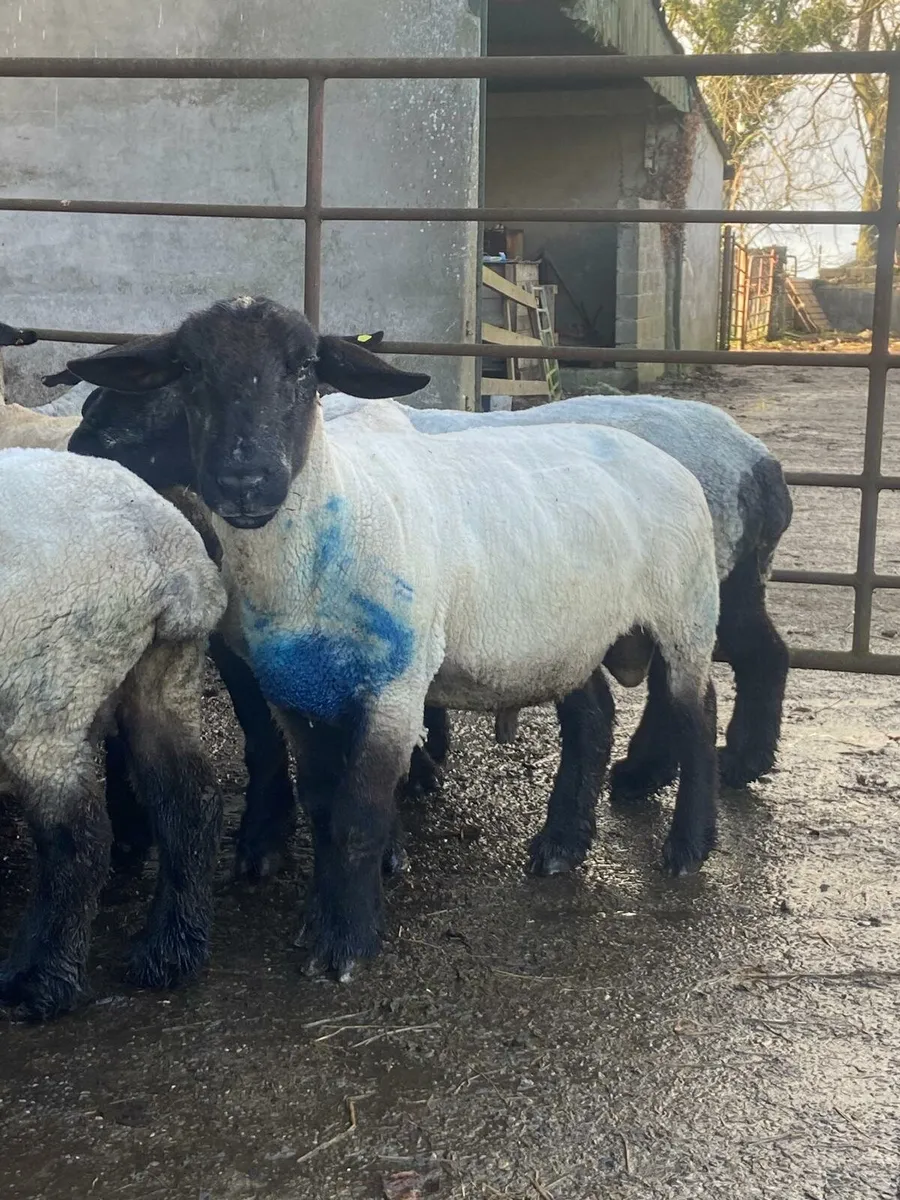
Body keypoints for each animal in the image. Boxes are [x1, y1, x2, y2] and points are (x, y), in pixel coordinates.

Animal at [0, 448, 226, 1020]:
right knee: (188, 802)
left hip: (45, 693)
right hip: (164, 671)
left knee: (79, 841)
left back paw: (39, 979)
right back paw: (172, 950)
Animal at [67, 296, 721, 982]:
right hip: (568, 635)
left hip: (685, 609)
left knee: (697, 709)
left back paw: (688, 846)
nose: (245, 480)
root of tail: (658, 456)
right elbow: (323, 805)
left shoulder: (396, 687)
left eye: (306, 367)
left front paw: (347, 943)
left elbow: (360, 817)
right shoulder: (295, 692)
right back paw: (562, 844)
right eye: (189, 370)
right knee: (593, 716)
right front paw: (319, 918)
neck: (331, 527)